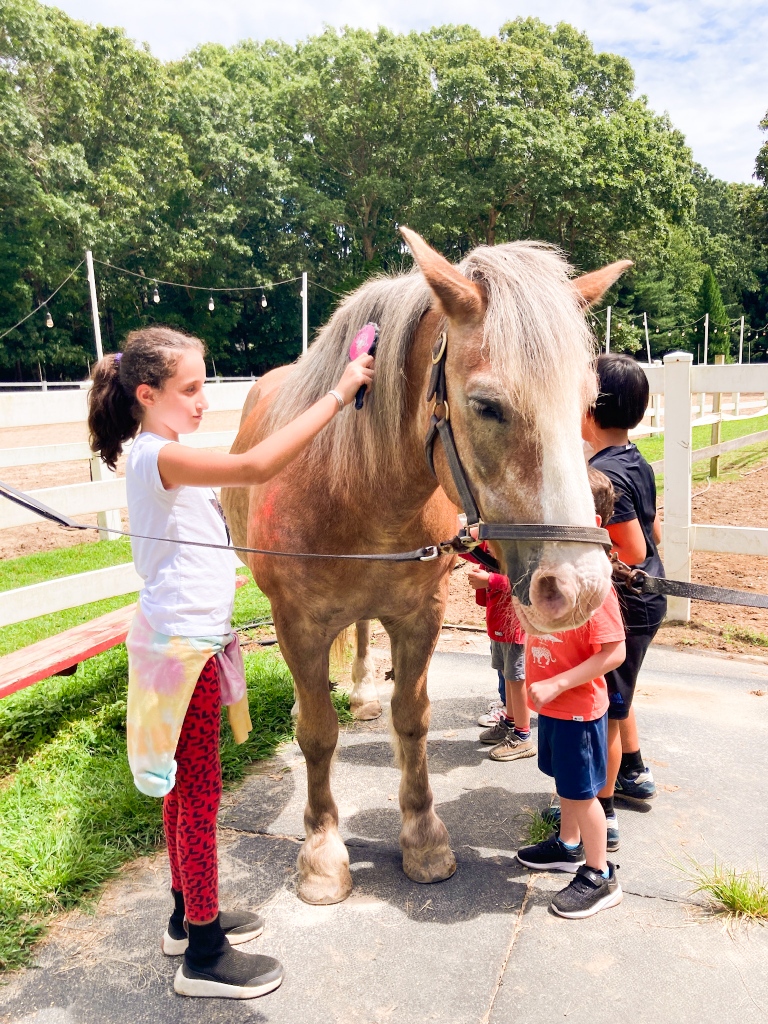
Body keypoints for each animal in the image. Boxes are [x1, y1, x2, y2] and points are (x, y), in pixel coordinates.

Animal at [222, 228, 630, 905]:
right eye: (487, 406)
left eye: (587, 401)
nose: (577, 587)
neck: (356, 485)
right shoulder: (297, 625)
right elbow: (317, 734)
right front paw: (322, 855)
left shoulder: (420, 615)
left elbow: (411, 722)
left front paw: (423, 838)